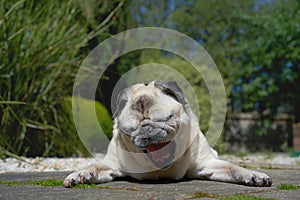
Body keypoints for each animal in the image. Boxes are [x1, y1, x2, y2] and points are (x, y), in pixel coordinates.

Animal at [63, 80, 272, 187]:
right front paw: (80, 175)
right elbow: (94, 167)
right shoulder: (112, 165)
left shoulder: (208, 164)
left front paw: (253, 175)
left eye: (166, 118)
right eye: (131, 129)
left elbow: (233, 167)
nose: (147, 130)